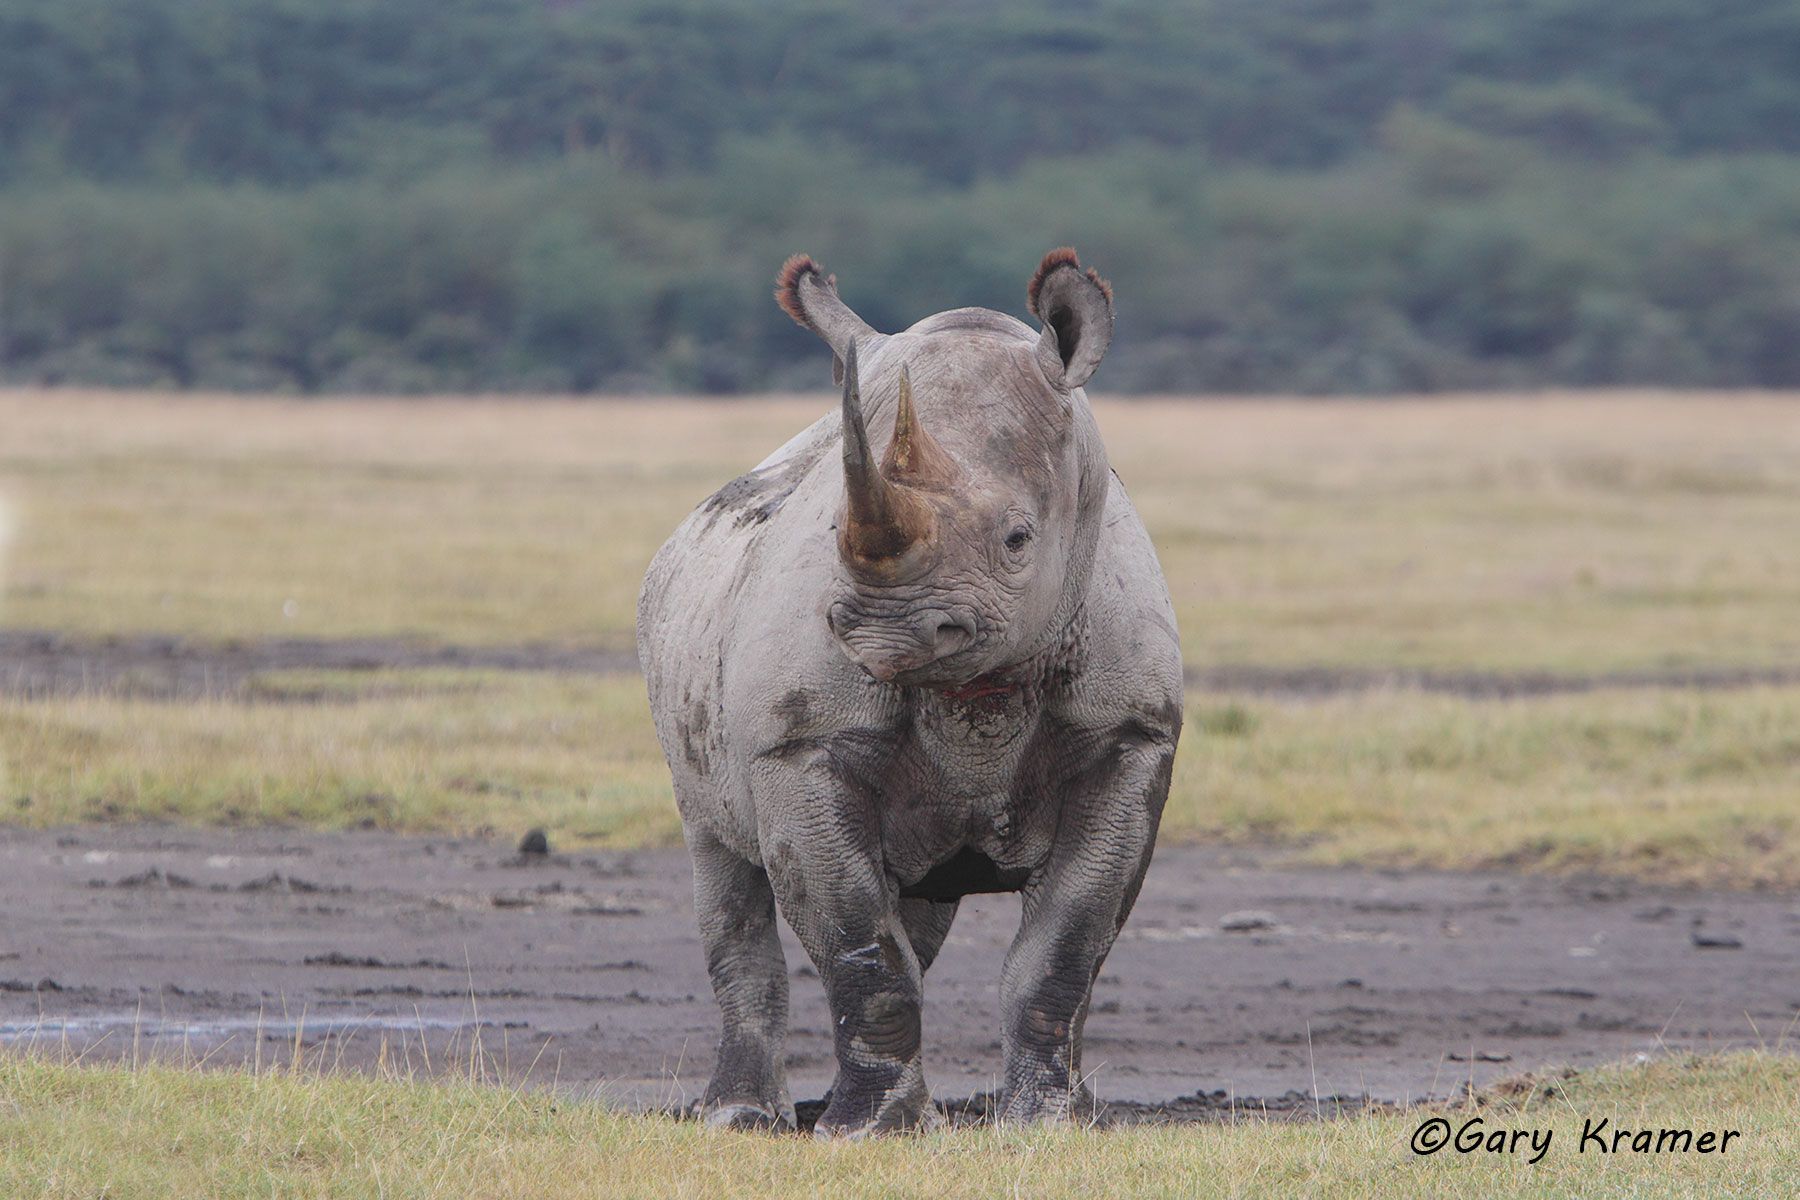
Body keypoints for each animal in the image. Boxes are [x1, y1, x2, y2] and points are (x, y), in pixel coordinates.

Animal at [636, 248, 1183, 1137]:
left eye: (1018, 539)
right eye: (833, 530)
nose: (881, 631)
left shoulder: (1130, 736)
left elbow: (1065, 944)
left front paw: (1050, 1122)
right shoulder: (799, 746)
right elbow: (860, 940)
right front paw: (869, 1131)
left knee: (917, 910)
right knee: (720, 862)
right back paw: (740, 1117)